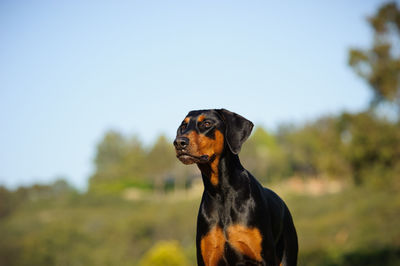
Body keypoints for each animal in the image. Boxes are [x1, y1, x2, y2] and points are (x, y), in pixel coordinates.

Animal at [173, 109, 298, 264]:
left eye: (207, 123)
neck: (222, 192)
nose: (179, 142)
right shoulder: (207, 259)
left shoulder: (264, 258)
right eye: (183, 126)